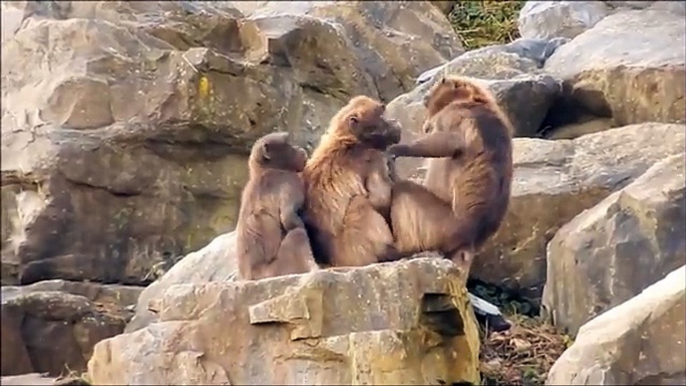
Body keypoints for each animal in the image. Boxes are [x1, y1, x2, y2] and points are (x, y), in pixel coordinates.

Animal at [235, 132, 322, 280]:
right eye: (288, 144)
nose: (300, 149)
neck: (266, 170)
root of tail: (253, 275)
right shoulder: (291, 181)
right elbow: (288, 218)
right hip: (276, 269)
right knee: (297, 234)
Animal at [304, 95, 406, 266]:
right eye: (381, 116)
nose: (394, 122)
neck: (350, 138)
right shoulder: (374, 158)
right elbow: (380, 200)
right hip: (356, 248)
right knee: (359, 203)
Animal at [388, 75, 516, 272]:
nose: (426, 94)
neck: (472, 100)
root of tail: (468, 241)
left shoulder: (455, 114)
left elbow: (450, 141)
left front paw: (397, 149)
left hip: (441, 224)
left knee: (403, 190)